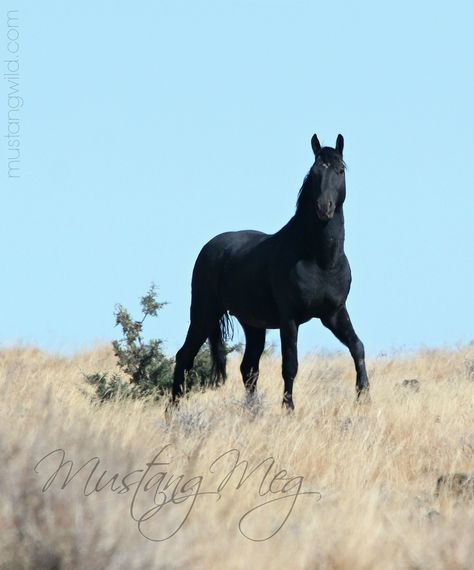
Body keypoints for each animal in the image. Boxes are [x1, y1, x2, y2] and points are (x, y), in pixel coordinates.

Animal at [172, 133, 368, 408]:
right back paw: (173, 410)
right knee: (184, 357)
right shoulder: (290, 319)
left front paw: (364, 395)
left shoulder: (334, 314)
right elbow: (290, 366)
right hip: (204, 314)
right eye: (314, 173)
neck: (320, 260)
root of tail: (210, 247)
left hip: (253, 325)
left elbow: (357, 347)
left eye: (340, 170)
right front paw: (288, 408)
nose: (324, 208)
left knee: (248, 368)